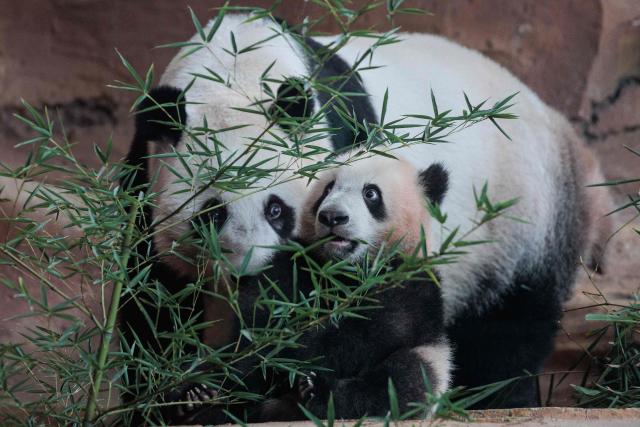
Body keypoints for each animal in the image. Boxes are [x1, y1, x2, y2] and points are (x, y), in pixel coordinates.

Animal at [162, 154, 452, 425]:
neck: (343, 268)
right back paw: (196, 398)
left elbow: (371, 332)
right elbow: (260, 321)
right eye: (327, 189)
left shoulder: (409, 279)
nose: (332, 216)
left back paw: (317, 392)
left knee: (405, 379)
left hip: (434, 359)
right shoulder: (298, 264)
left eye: (371, 193)